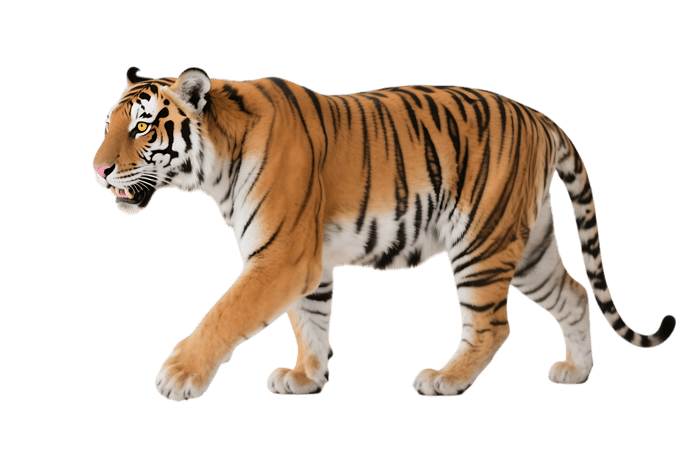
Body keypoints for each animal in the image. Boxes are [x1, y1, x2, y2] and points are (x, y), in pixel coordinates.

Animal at [92, 66, 676, 402]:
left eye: (141, 126)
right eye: (108, 125)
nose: (97, 170)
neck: (217, 164)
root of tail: (536, 114)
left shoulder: (280, 256)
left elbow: (224, 313)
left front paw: (178, 376)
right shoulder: (308, 262)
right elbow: (310, 322)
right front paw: (306, 377)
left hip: (480, 240)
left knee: (492, 325)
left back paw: (446, 379)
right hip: (528, 245)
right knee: (574, 294)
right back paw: (576, 372)